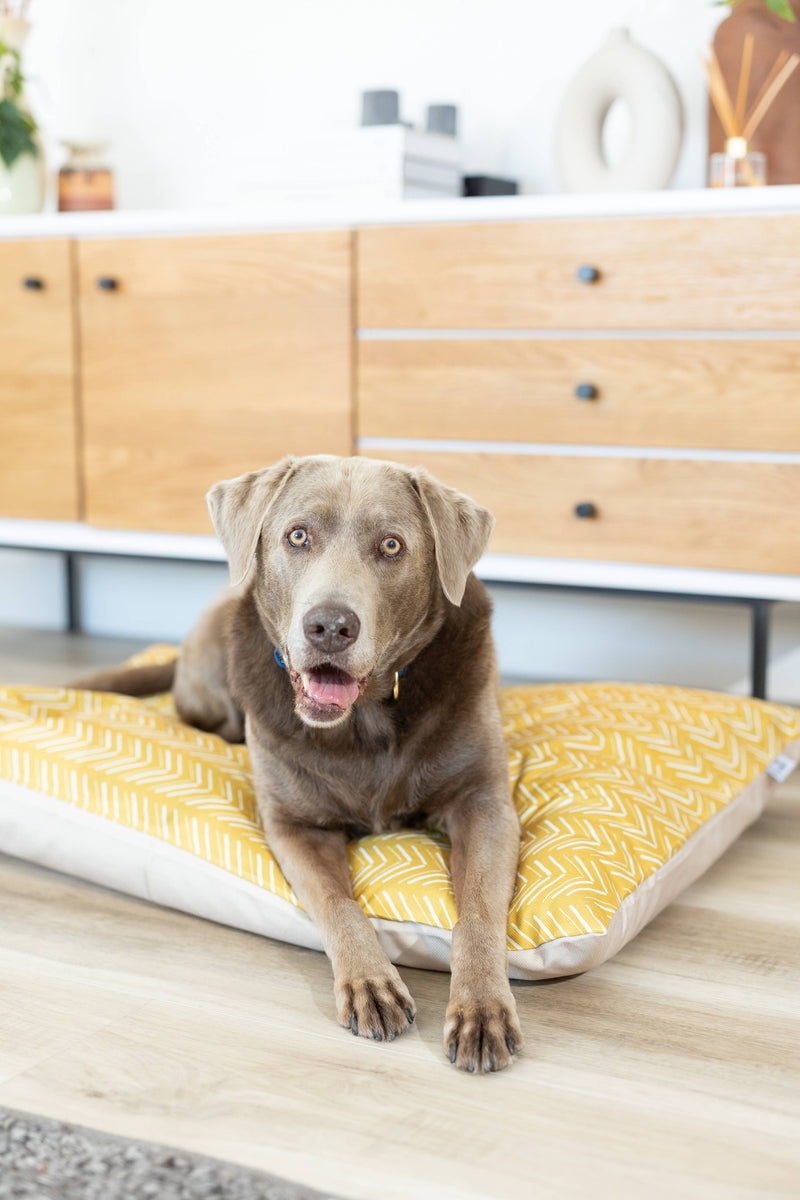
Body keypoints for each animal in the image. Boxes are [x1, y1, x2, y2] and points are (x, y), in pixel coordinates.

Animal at [74, 453, 522, 1075]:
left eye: (391, 545)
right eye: (298, 536)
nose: (330, 626)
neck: (364, 722)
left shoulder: (484, 804)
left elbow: (478, 909)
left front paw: (481, 1007)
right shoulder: (294, 824)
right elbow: (337, 902)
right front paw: (371, 982)